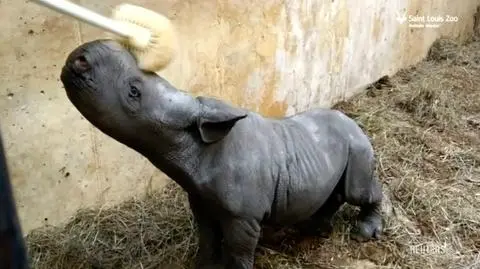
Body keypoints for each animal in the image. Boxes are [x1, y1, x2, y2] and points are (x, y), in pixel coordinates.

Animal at [60, 39, 384, 268]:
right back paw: (315, 228)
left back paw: (363, 233)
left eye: (133, 92)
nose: (80, 58)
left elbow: (238, 251)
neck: (198, 149)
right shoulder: (201, 200)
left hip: (357, 145)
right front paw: (202, 265)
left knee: (358, 191)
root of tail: (352, 121)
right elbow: (207, 239)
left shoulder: (243, 216)